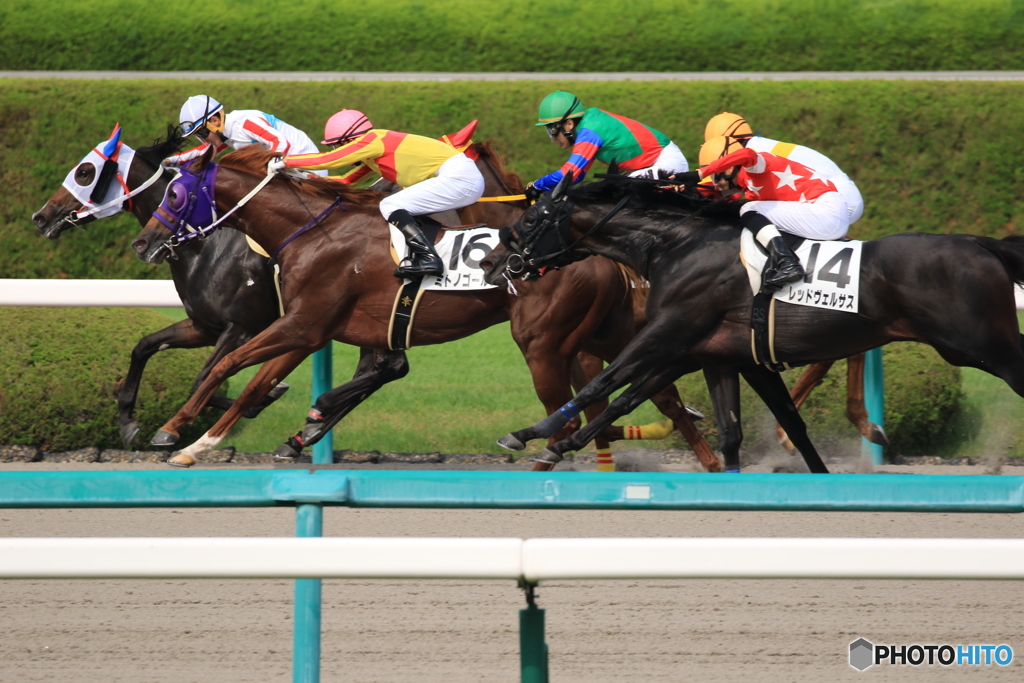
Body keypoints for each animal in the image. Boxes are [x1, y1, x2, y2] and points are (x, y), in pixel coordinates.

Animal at [132, 145, 716, 471]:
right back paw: (711, 462)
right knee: (659, 394)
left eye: (176, 196)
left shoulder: (302, 323)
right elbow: (257, 383)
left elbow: (229, 366)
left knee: (567, 411)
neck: (312, 231)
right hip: (604, 332)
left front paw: (175, 433)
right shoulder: (311, 327)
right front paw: (210, 441)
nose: (143, 244)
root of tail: (595, 251)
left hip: (543, 343)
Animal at [479, 178, 1024, 471]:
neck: (675, 244)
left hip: (983, 344)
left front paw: (537, 435)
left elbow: (608, 383)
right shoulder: (714, 354)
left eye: (530, 223)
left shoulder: (669, 333)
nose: (491, 263)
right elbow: (734, 429)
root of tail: (981, 244)